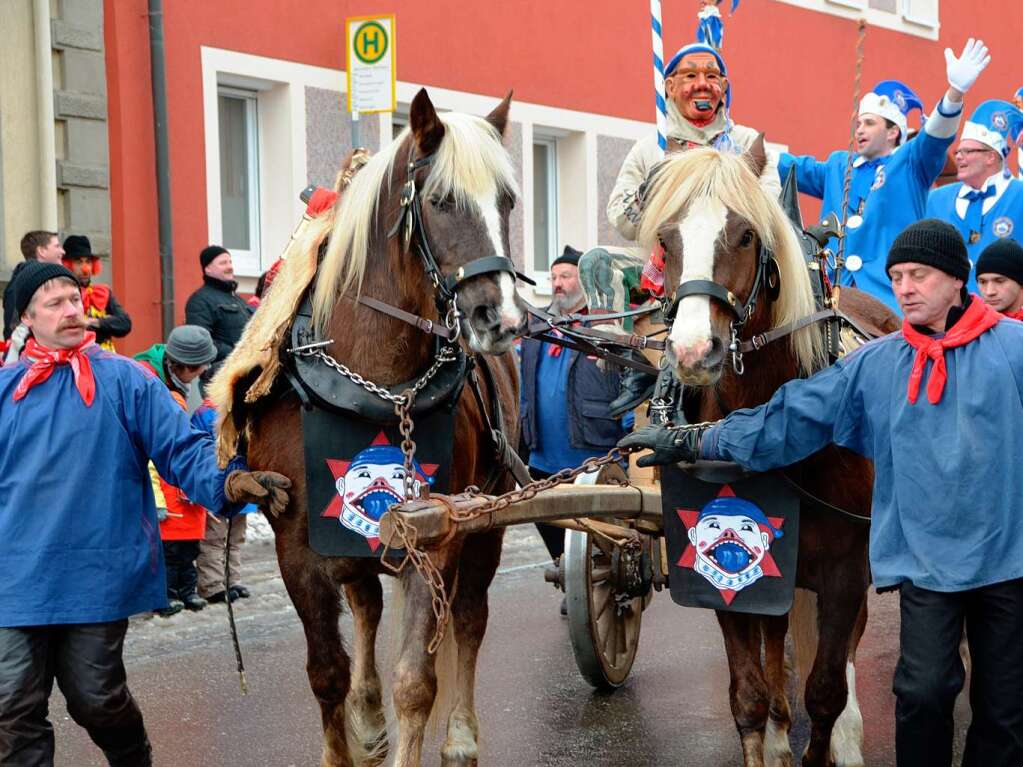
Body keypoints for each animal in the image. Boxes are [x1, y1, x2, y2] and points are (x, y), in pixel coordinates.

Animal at [227, 91, 523, 767]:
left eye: (508, 201)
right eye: (441, 201)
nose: (500, 317)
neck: (378, 386)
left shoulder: (434, 536)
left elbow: (417, 680)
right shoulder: (298, 546)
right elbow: (327, 672)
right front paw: (350, 730)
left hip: (489, 519)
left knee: (470, 617)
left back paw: (460, 736)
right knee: (363, 604)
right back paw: (366, 717)